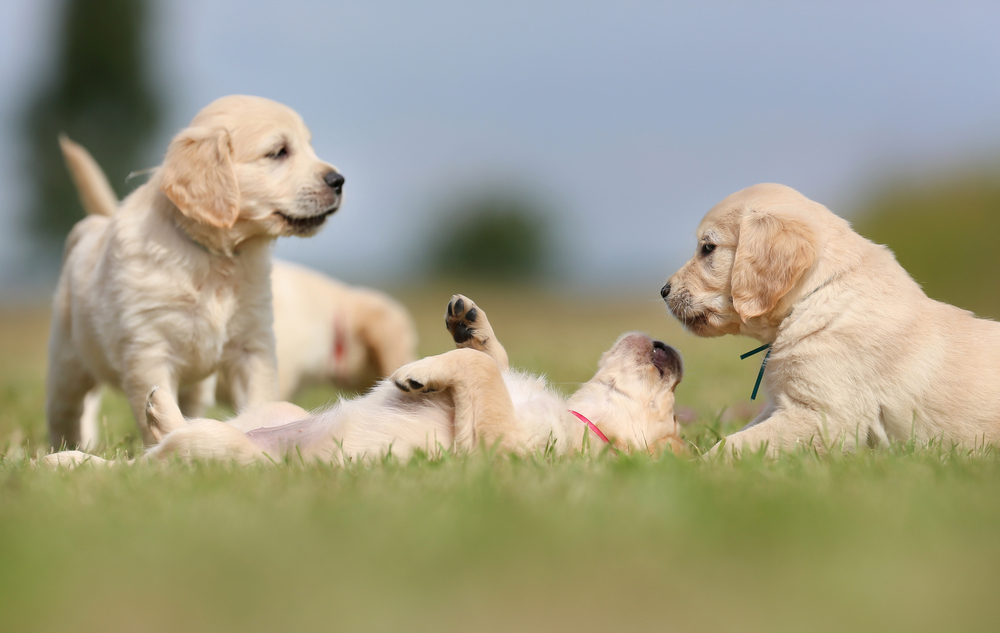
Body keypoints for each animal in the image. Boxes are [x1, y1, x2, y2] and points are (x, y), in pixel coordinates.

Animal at [45, 292, 688, 464]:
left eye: (669, 426)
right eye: (671, 405)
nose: (674, 352)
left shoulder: (496, 451)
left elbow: (480, 370)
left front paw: (414, 375)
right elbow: (492, 359)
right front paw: (469, 324)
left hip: (228, 454)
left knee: (153, 459)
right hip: (276, 411)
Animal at [51, 96, 348, 446]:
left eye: (308, 145)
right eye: (279, 152)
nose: (339, 181)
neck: (216, 259)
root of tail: (95, 224)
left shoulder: (254, 345)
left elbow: (259, 399)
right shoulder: (149, 351)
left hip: (195, 387)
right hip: (68, 364)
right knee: (64, 412)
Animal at [664, 181, 1000, 454]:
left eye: (708, 248)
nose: (663, 291)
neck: (816, 297)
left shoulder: (824, 416)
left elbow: (735, 444)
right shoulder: (782, 404)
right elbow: (741, 433)